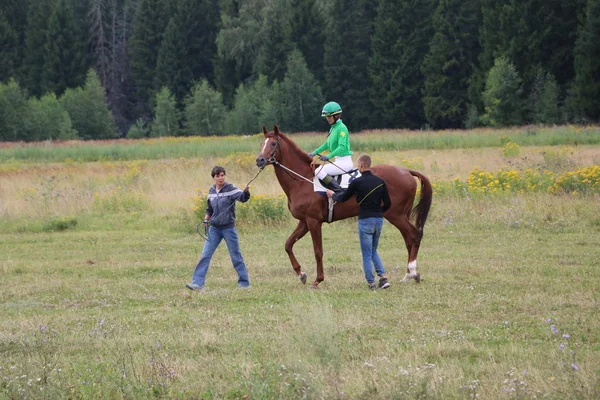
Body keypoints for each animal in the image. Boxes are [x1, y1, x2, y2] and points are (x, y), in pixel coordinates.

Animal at [253, 125, 432, 288]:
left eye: (273, 144)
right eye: (262, 143)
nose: (259, 160)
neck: (302, 180)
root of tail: (406, 171)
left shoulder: (313, 221)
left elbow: (318, 251)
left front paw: (318, 280)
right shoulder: (304, 222)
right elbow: (288, 245)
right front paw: (301, 274)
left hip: (395, 215)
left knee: (414, 235)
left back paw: (413, 272)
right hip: (401, 215)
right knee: (408, 239)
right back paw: (407, 275)